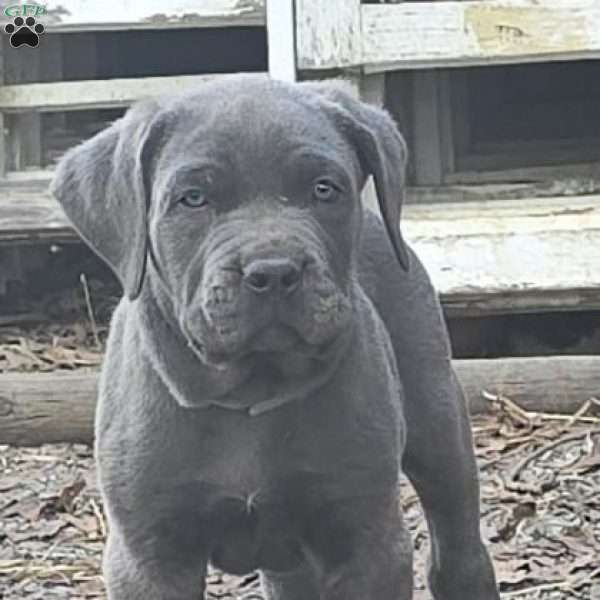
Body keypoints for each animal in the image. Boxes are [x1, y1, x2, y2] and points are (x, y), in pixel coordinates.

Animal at [51, 75, 500, 600]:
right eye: (193, 198)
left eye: (324, 189)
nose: (274, 271)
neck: (250, 391)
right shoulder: (150, 557)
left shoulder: (368, 540)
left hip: (437, 418)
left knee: (457, 541)